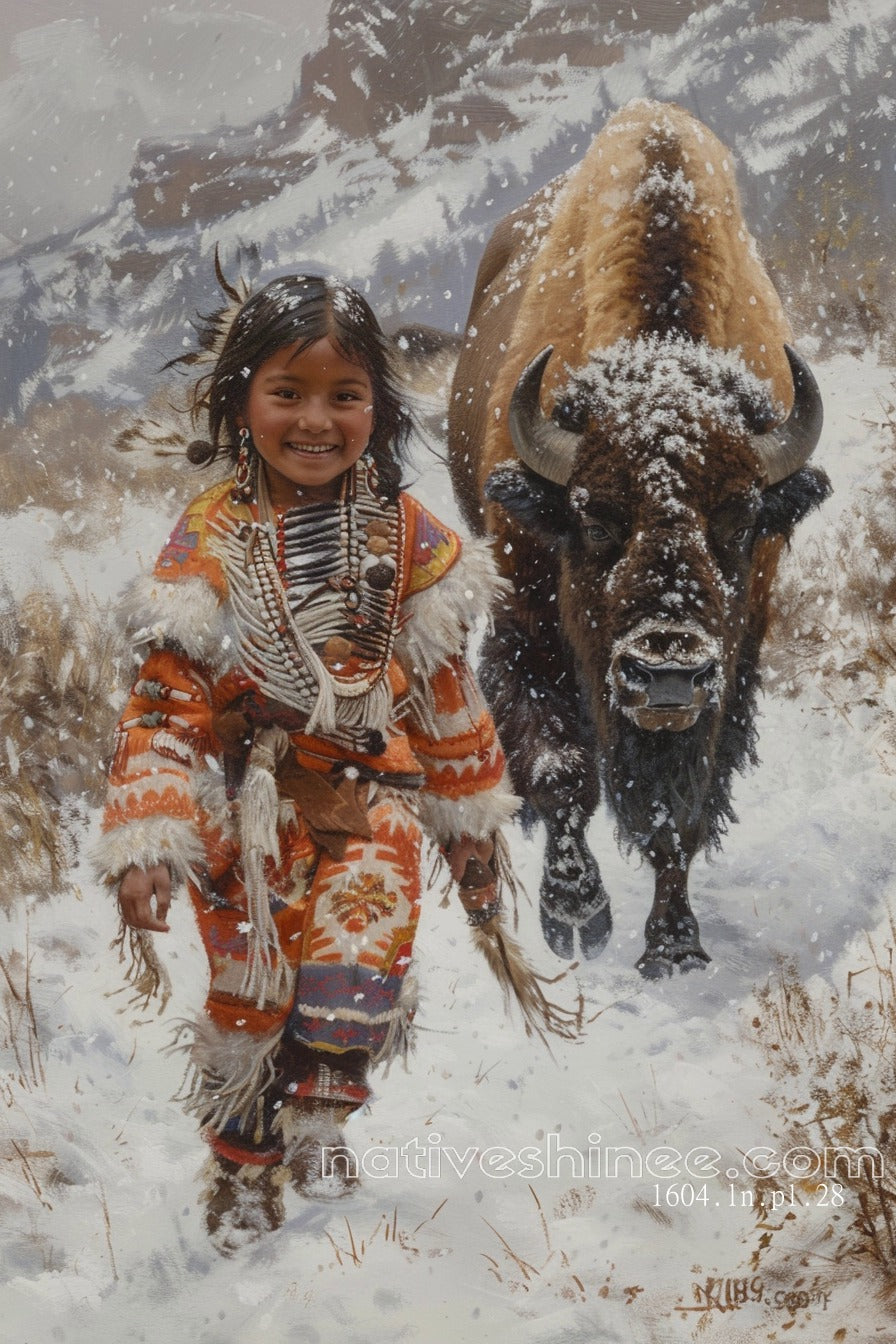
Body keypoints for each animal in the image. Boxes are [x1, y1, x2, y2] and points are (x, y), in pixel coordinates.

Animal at [447, 100, 829, 976]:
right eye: (592, 517)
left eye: (741, 518)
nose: (665, 671)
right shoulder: (525, 627)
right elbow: (561, 771)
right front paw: (575, 917)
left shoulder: (733, 666)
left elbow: (680, 811)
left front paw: (675, 947)